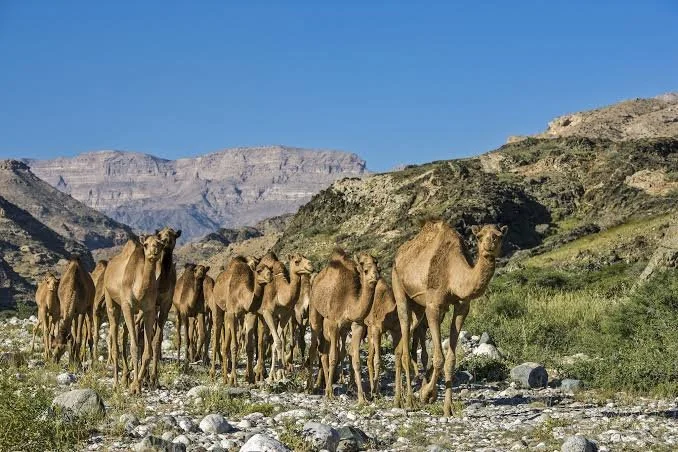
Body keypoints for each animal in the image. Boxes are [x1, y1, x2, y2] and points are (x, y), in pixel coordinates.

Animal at [104, 234, 164, 393]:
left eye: (161, 244)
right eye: (146, 244)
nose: (154, 252)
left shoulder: (149, 310)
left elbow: (147, 350)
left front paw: (136, 384)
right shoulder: (127, 306)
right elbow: (135, 347)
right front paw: (135, 387)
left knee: (124, 334)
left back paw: (125, 379)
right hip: (111, 301)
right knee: (115, 337)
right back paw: (116, 384)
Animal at [211, 255, 272, 384]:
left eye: (270, 269)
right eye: (258, 270)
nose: (270, 276)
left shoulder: (250, 313)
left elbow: (249, 346)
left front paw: (251, 378)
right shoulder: (232, 314)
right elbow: (234, 346)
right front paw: (234, 379)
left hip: (228, 315)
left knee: (225, 345)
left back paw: (224, 378)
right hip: (218, 307)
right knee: (216, 339)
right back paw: (213, 374)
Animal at [253, 252, 313, 382]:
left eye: (305, 258)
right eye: (297, 261)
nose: (310, 265)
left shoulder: (285, 315)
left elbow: (278, 342)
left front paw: (280, 375)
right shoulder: (268, 313)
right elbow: (278, 342)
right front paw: (272, 376)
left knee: (270, 339)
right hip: (259, 315)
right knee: (260, 338)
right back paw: (258, 371)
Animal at [308, 249, 379, 403]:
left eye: (377, 265)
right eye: (364, 268)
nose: (375, 276)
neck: (348, 301)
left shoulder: (357, 324)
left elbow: (356, 360)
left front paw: (362, 398)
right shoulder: (334, 323)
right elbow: (333, 357)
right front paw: (329, 393)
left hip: (340, 329)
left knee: (325, 351)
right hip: (315, 311)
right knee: (314, 348)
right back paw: (310, 387)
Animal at [392, 220, 507, 415]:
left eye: (499, 235)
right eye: (479, 236)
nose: (489, 246)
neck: (453, 274)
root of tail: (399, 255)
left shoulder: (462, 307)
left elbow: (451, 360)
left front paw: (448, 408)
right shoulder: (433, 306)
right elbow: (439, 359)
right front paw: (426, 394)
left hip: (418, 307)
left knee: (402, 345)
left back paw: (398, 399)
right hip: (399, 286)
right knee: (405, 330)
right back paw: (409, 401)